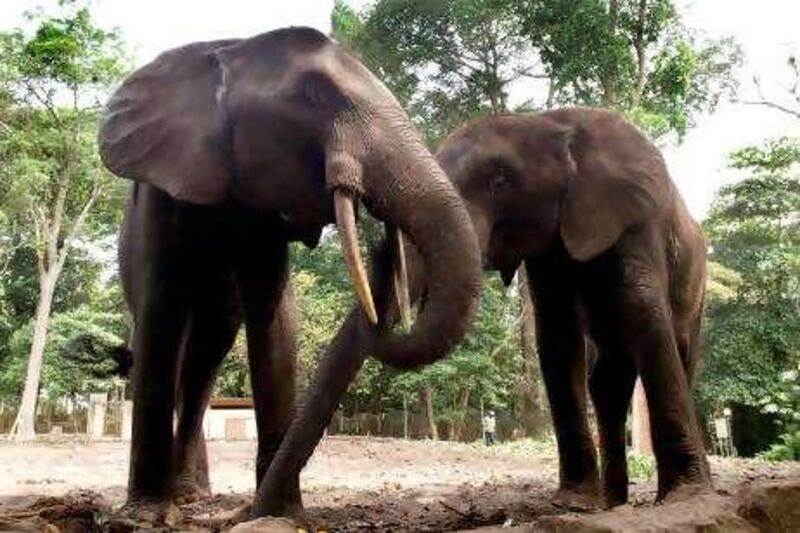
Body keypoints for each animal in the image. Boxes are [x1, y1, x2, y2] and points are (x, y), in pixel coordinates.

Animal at [97, 27, 478, 520]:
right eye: (314, 96)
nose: (381, 251)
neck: (229, 49)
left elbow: (274, 316)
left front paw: (279, 514)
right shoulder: (162, 191)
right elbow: (161, 310)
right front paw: (145, 516)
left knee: (206, 355)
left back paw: (192, 494)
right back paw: (181, 497)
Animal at [438, 105, 712, 508]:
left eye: (500, 182)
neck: (547, 122)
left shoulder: (636, 219)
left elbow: (643, 308)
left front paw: (686, 497)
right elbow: (557, 333)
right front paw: (574, 503)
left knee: (680, 354)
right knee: (608, 383)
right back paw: (611, 503)